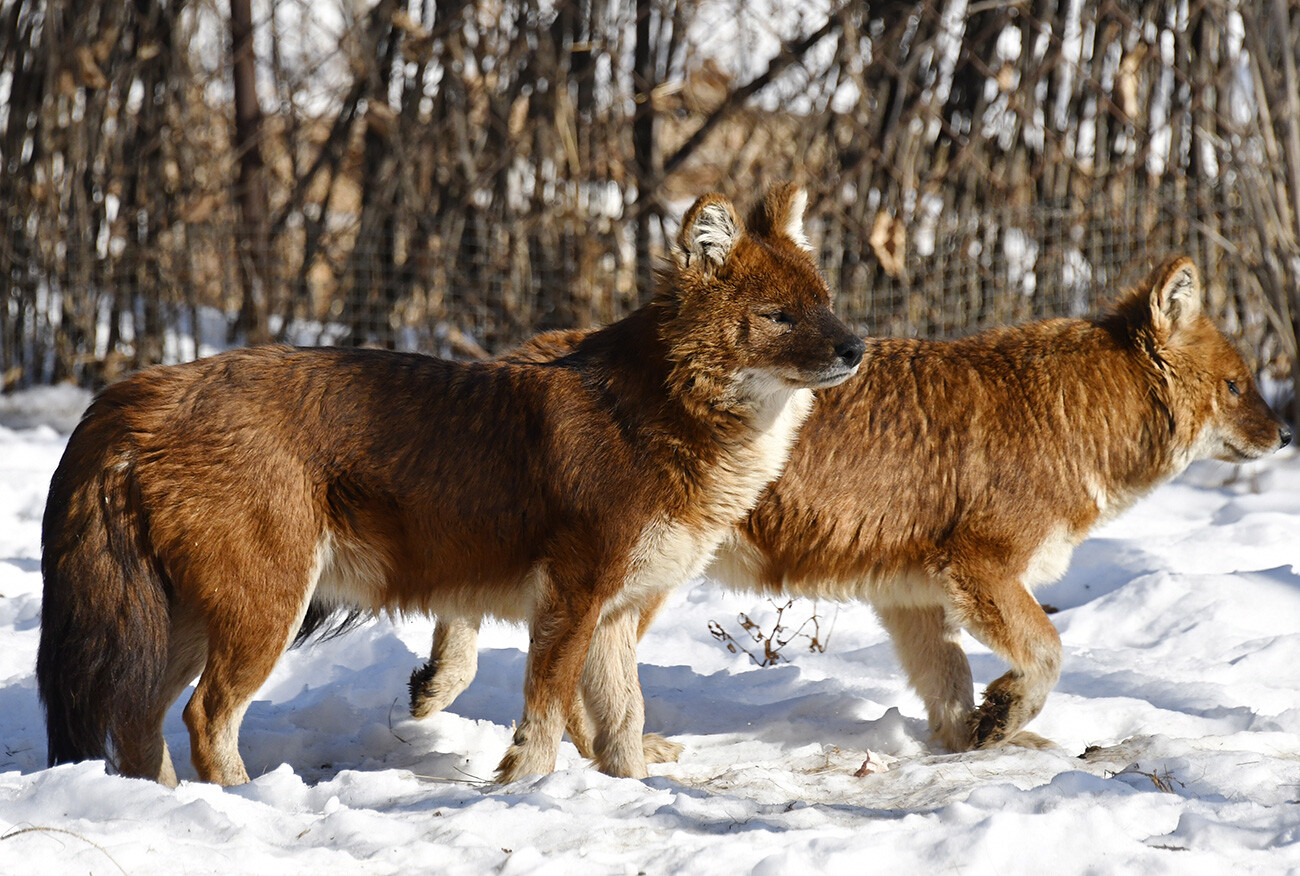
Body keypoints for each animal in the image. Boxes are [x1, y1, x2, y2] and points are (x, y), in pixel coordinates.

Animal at [35, 180, 863, 779]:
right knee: (205, 718)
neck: (664, 413)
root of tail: (149, 388)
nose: (857, 346)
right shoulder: (573, 599)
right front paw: (524, 789)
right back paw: (241, 804)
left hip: (184, 618)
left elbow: (623, 721)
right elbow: (547, 714)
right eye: (779, 315)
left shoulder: (617, 612)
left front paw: (630, 790)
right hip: (264, 604)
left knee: (136, 721)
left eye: (824, 302)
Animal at [413, 254, 1289, 759]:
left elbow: (950, 686)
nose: (1285, 435)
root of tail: (518, 354)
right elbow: (1046, 652)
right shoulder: (983, 568)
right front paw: (1005, 717)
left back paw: (445, 689)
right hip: (643, 573)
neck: (1070, 413)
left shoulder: (913, 599)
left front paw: (974, 743)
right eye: (1238, 385)